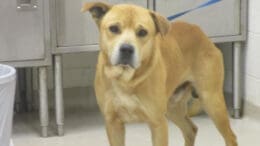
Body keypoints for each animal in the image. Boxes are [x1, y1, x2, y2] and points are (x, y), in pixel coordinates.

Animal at [82, 2, 238, 146]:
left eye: (142, 32)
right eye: (113, 28)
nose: (126, 49)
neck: (126, 79)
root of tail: (198, 31)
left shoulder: (158, 123)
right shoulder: (113, 124)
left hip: (212, 101)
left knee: (230, 137)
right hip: (172, 107)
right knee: (191, 130)